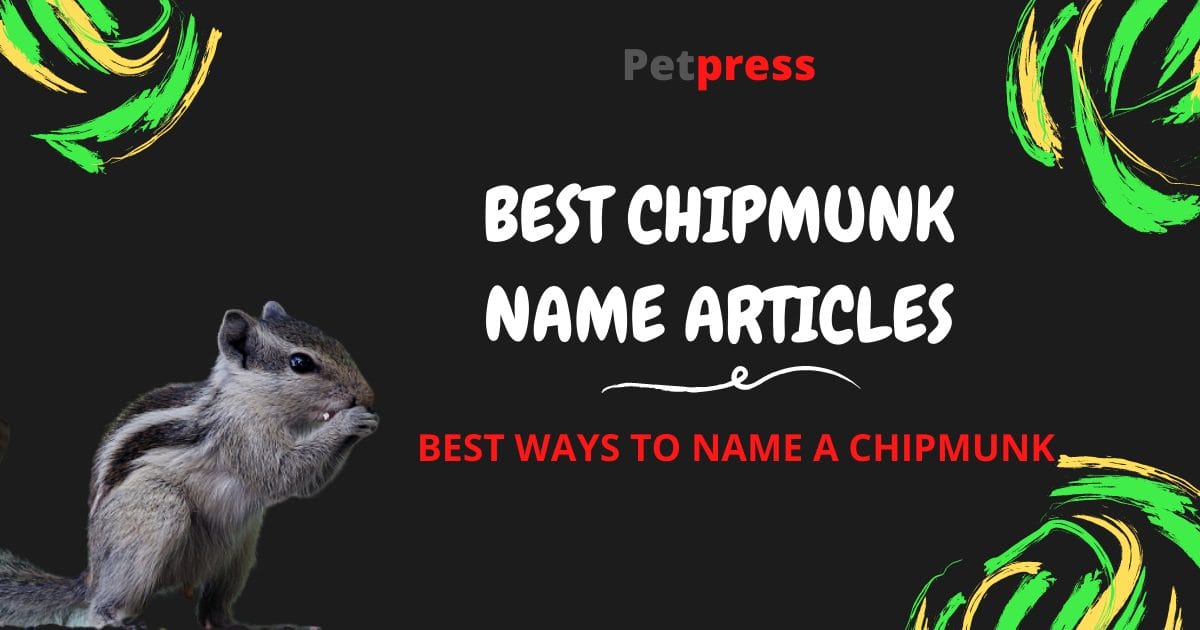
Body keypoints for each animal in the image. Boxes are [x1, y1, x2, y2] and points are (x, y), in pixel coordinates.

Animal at [0, 301, 379, 629]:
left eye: (336, 343)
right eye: (300, 363)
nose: (368, 396)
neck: (247, 396)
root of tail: (93, 574)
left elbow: (306, 482)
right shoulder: (241, 434)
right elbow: (282, 474)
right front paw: (348, 421)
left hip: (239, 549)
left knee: (213, 613)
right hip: (155, 511)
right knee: (100, 606)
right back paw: (116, 619)